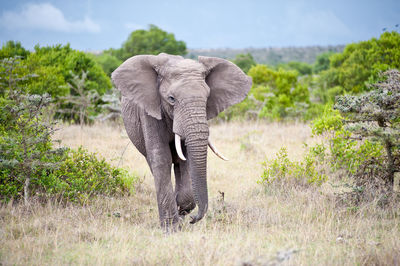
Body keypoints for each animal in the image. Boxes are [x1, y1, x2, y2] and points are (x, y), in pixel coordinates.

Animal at [111, 52, 252, 231]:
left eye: (207, 98)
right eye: (171, 99)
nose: (193, 218)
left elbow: (187, 160)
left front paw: (181, 211)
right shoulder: (149, 111)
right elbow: (161, 158)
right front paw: (171, 229)